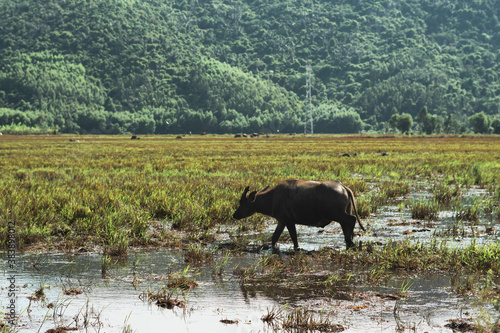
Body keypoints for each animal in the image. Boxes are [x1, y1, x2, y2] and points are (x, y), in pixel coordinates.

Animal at [232, 179, 366, 249]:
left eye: (242, 202)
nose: (234, 215)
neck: (273, 197)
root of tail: (343, 187)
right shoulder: (281, 222)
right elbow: (274, 238)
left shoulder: (289, 221)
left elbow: (294, 238)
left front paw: (297, 247)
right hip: (343, 213)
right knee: (346, 225)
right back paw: (348, 240)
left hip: (337, 214)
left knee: (352, 220)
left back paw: (349, 241)